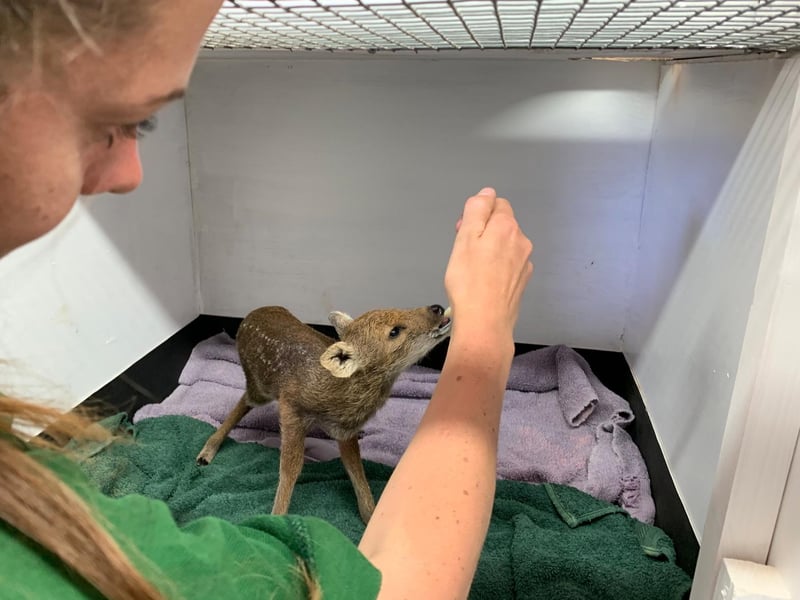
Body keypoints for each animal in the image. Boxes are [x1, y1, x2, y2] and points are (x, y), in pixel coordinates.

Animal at [195, 303, 452, 524]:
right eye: (394, 331)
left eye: (399, 308)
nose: (437, 308)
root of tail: (251, 314)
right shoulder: (291, 407)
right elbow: (290, 468)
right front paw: (276, 518)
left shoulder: (345, 429)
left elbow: (356, 469)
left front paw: (370, 517)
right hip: (259, 386)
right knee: (243, 401)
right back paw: (206, 453)